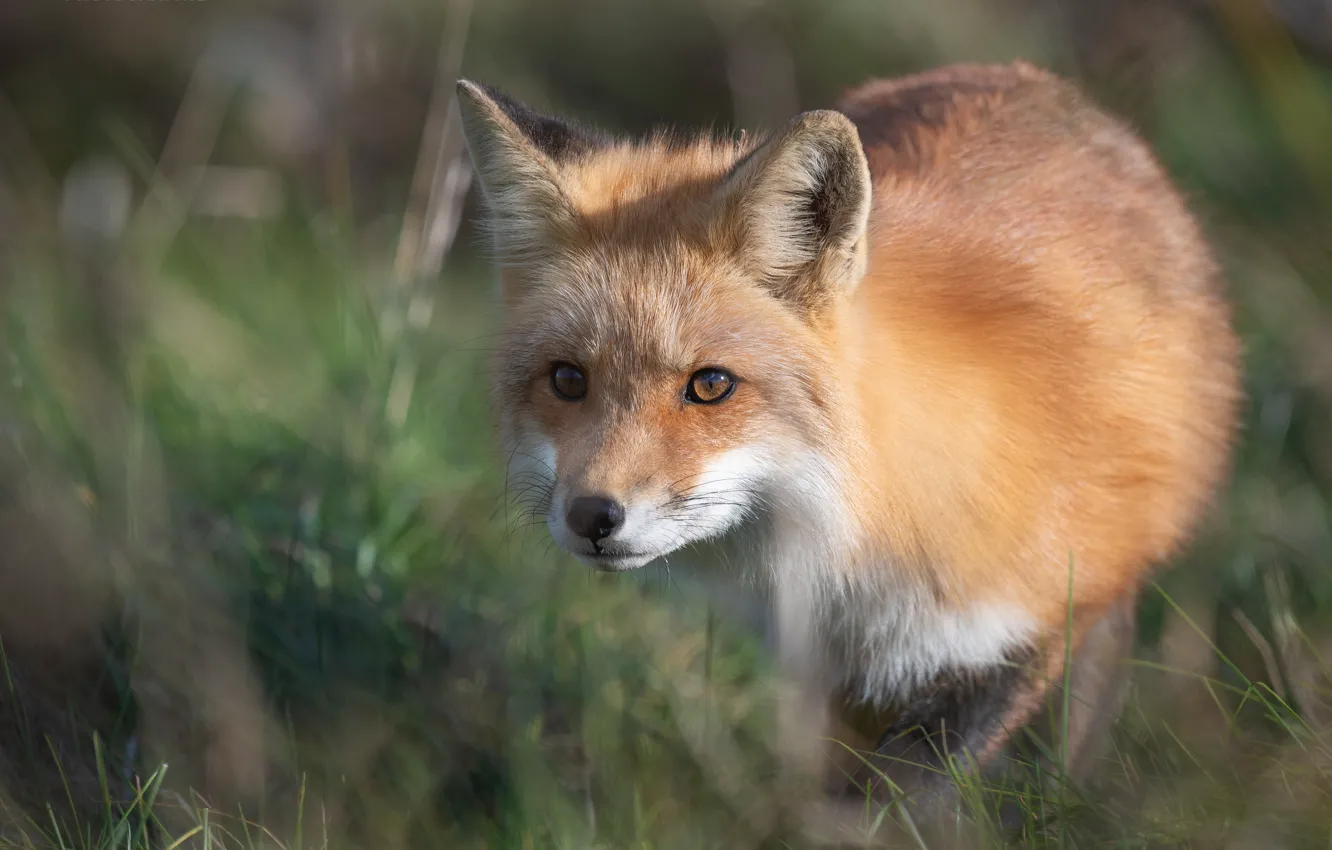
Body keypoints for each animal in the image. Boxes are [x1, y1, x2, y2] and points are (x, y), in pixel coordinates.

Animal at [456, 60, 1242, 819]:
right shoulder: (828, 668)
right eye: (567, 379)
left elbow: (899, 806)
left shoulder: (1016, 635)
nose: (592, 516)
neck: (856, 540)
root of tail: (1027, 77)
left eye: (710, 386)